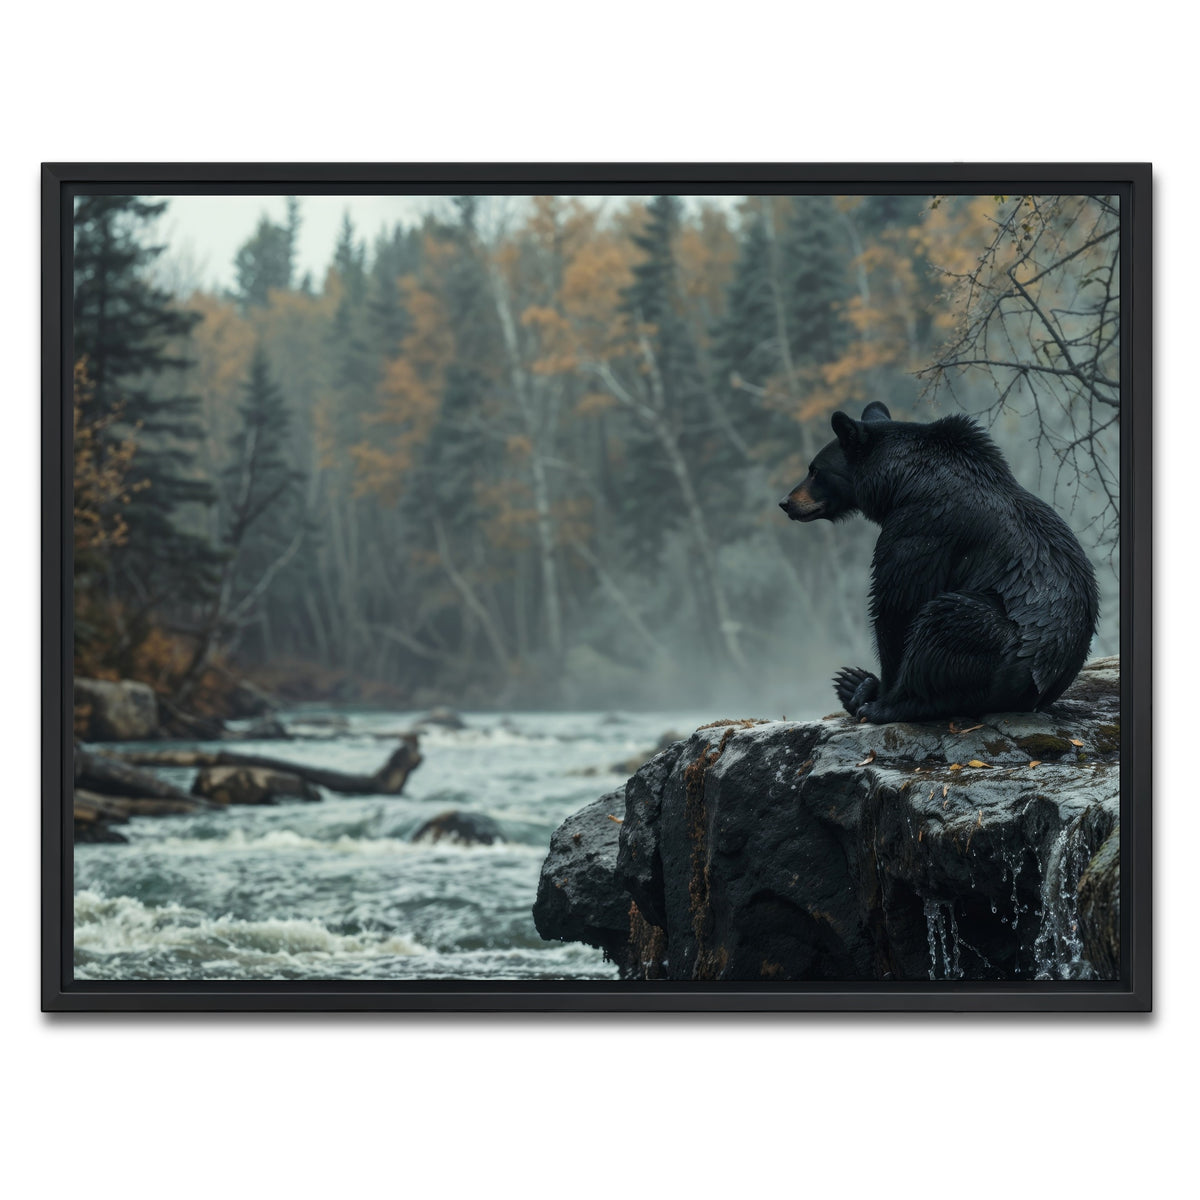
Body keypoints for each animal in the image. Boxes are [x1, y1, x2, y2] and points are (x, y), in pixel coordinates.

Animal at [779, 401, 1098, 724]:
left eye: (815, 470)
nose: (786, 503)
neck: (901, 481)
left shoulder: (924, 525)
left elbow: (899, 601)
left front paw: (878, 695)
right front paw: (859, 683)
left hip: (1004, 648)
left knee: (947, 621)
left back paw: (880, 700)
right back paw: (854, 683)